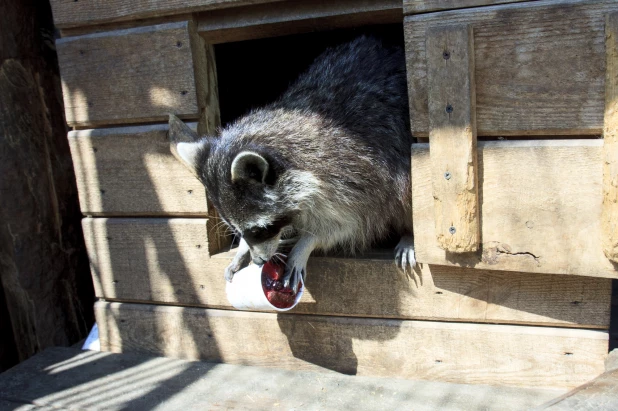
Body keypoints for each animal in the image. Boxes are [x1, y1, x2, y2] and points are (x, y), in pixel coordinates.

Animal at [170, 35, 414, 292]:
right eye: (239, 231)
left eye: (259, 230)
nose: (259, 261)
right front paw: (243, 249)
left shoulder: (354, 178)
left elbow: (349, 224)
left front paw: (307, 242)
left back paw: (409, 234)